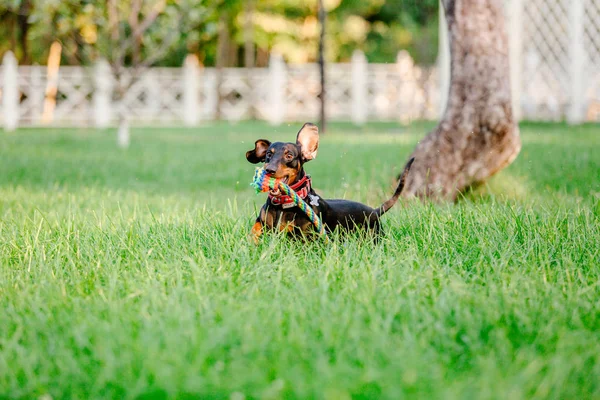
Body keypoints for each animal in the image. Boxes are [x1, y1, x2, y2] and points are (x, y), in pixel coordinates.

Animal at [245, 122, 412, 241]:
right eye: (268, 154)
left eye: (289, 155)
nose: (269, 170)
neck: (282, 206)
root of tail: (374, 211)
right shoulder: (262, 222)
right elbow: (254, 230)